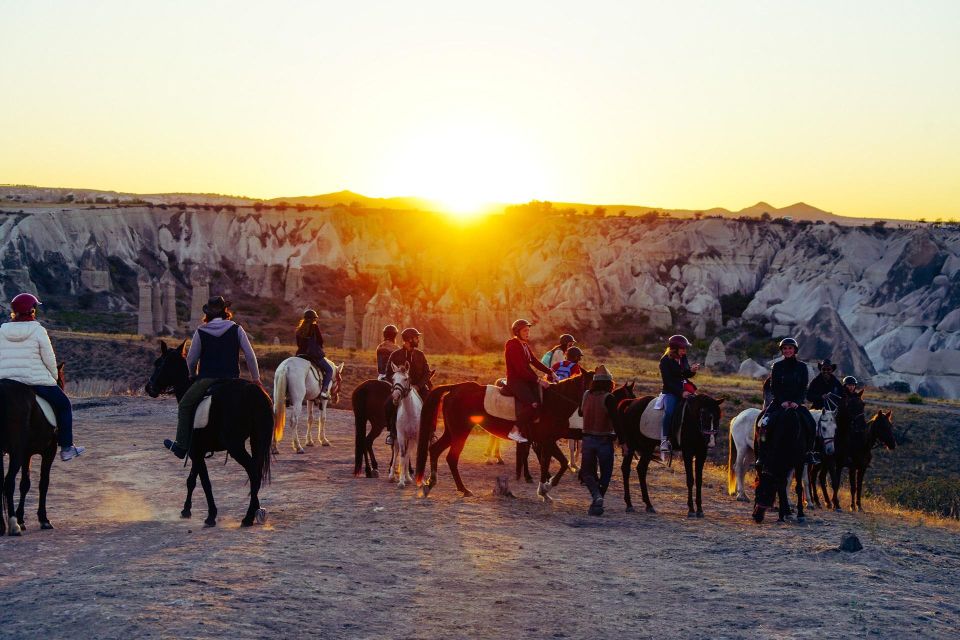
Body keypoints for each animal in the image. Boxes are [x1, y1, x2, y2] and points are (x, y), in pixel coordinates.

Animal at [0, 364, 64, 536]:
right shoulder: (49, 451)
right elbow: (43, 483)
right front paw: (44, 519)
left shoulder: (26, 454)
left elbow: (25, 484)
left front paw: (22, 519)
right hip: (16, 451)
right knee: (8, 482)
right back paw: (13, 525)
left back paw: (2, 525)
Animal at [146, 338, 274, 528]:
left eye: (159, 364)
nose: (149, 387)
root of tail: (253, 393)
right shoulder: (197, 450)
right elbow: (192, 480)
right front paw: (186, 510)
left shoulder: (195, 451)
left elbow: (204, 482)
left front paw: (211, 515)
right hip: (256, 440)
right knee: (255, 474)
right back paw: (254, 512)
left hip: (235, 446)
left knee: (253, 471)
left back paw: (247, 518)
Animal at [388, 360, 422, 490]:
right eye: (393, 378)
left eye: (406, 379)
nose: (395, 397)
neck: (410, 412)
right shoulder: (401, 435)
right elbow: (402, 455)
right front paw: (401, 481)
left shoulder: (416, 436)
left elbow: (410, 455)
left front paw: (418, 481)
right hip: (396, 437)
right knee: (396, 452)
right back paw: (392, 476)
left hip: (411, 438)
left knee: (408, 454)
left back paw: (408, 477)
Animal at [418, 372, 596, 502]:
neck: (555, 402)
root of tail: (455, 388)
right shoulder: (547, 440)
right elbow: (561, 463)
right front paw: (547, 487)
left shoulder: (546, 441)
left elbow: (551, 464)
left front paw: (544, 490)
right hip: (460, 431)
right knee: (451, 458)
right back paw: (463, 489)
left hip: (452, 431)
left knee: (435, 450)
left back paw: (430, 484)